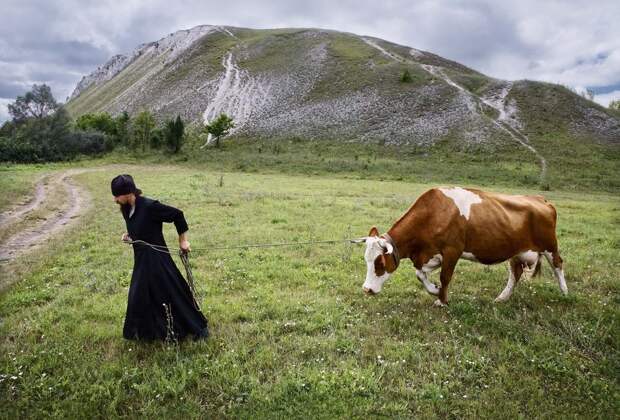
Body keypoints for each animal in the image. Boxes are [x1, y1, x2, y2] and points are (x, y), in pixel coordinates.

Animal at [360, 187, 568, 306]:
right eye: (366, 261)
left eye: (379, 263)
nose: (366, 290)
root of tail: (540, 199)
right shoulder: (429, 254)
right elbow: (420, 274)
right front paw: (434, 290)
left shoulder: (452, 251)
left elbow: (445, 277)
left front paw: (441, 300)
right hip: (516, 251)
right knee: (515, 273)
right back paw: (501, 298)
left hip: (550, 245)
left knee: (558, 264)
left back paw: (565, 293)